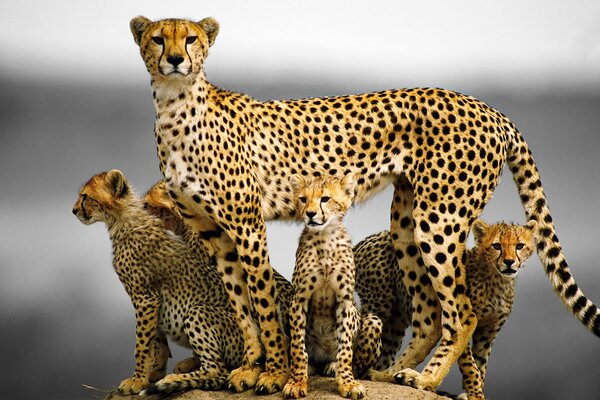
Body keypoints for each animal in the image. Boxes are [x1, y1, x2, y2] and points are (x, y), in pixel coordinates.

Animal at [284, 176, 382, 400]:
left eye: (325, 198)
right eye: (303, 199)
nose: (310, 214)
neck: (324, 237)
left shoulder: (345, 301)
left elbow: (345, 349)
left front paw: (347, 383)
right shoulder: (298, 299)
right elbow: (298, 348)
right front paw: (296, 382)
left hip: (373, 320)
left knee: (358, 364)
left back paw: (334, 366)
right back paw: (312, 367)